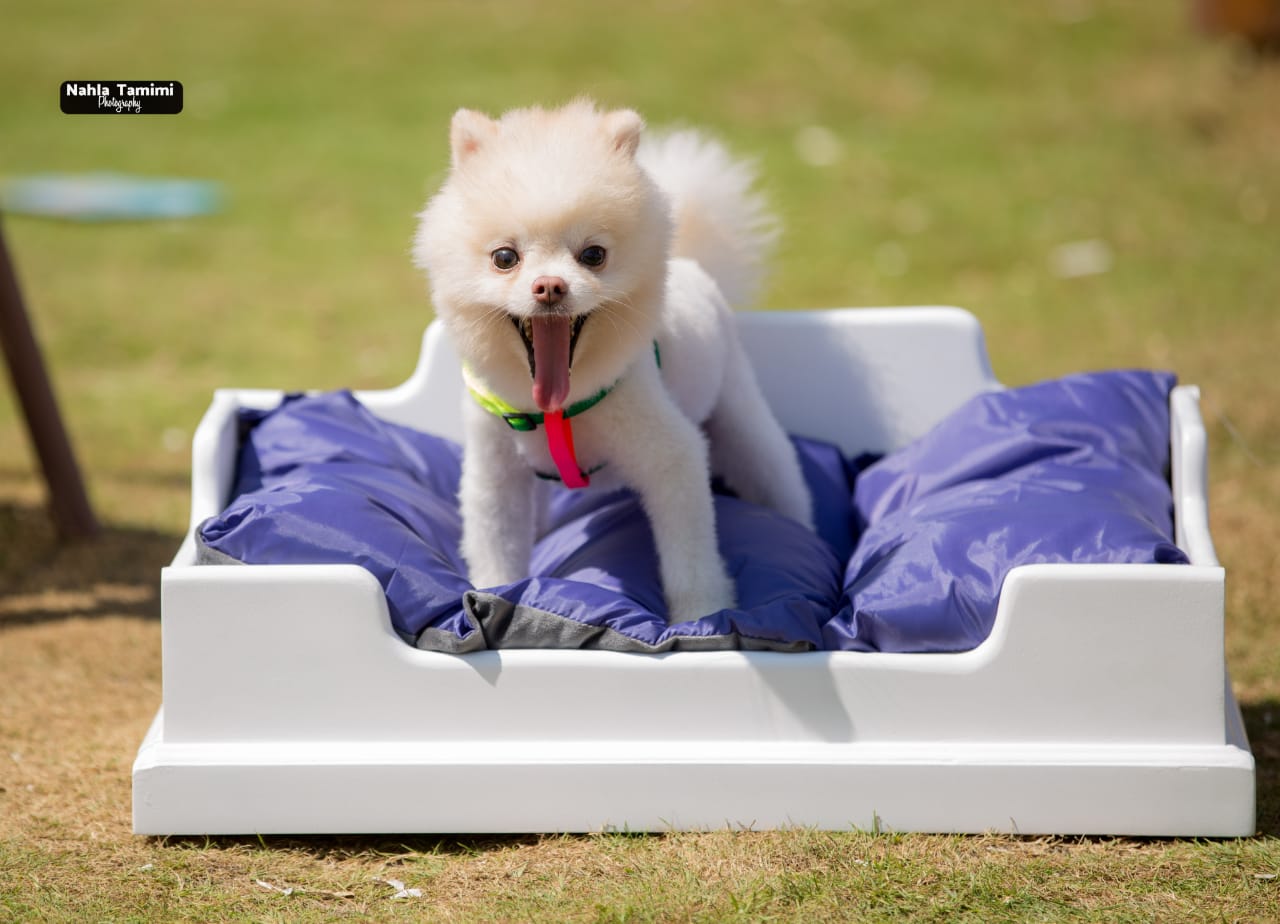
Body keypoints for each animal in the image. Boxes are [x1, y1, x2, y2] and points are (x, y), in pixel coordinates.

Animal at [414, 99, 814, 619]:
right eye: (504, 257)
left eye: (593, 255)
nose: (549, 286)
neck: (557, 409)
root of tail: (689, 262)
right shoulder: (495, 474)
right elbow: (496, 550)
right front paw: (492, 598)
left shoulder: (672, 457)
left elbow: (691, 558)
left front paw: (703, 616)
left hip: (743, 419)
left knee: (776, 476)